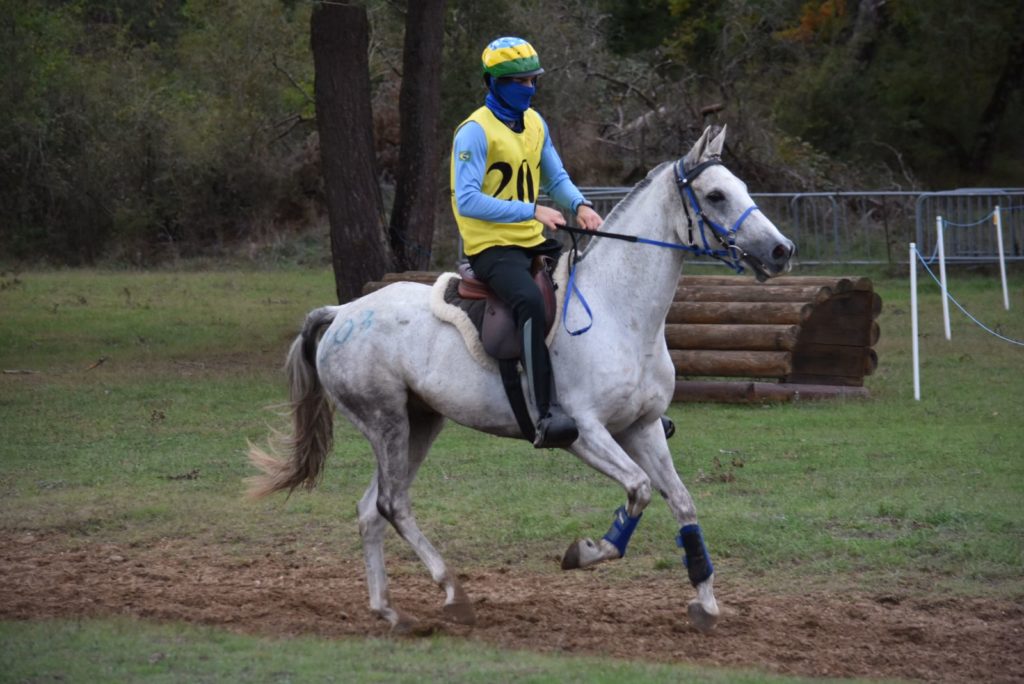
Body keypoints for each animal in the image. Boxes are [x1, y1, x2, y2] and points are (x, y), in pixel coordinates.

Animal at [249, 125, 798, 634]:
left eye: (742, 187)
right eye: (716, 195)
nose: (781, 250)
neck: (622, 312)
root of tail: (342, 312)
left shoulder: (641, 428)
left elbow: (682, 503)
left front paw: (705, 603)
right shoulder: (585, 432)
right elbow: (640, 490)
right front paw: (587, 551)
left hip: (419, 423)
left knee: (372, 509)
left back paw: (390, 611)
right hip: (386, 422)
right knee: (391, 504)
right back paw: (452, 592)